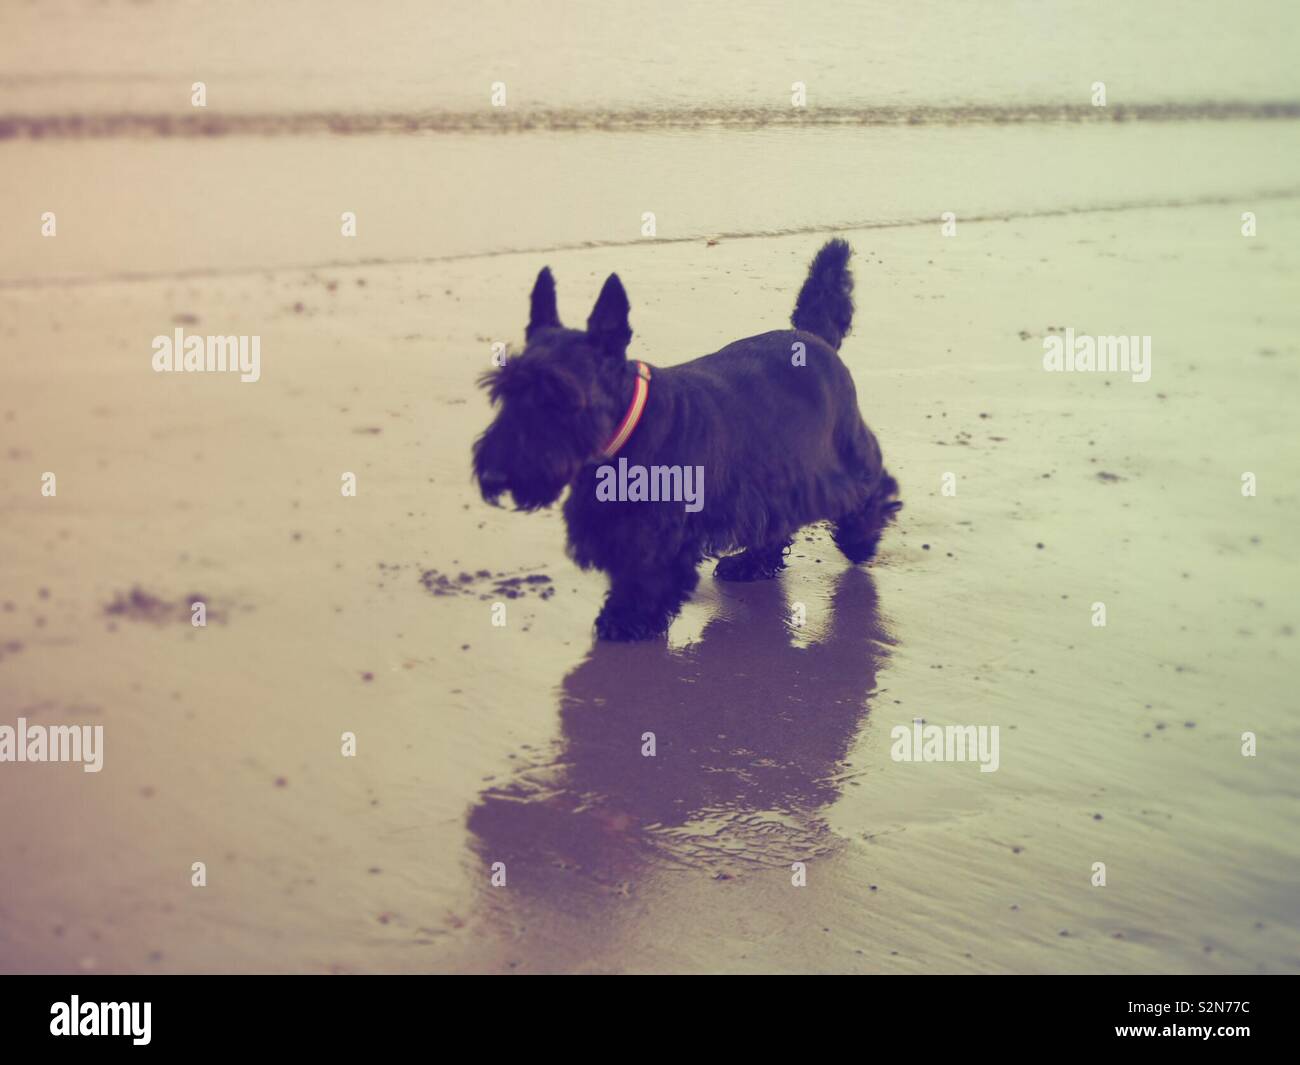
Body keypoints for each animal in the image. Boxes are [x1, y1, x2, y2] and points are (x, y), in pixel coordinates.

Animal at [473, 241, 899, 642]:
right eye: (505, 392)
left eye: (559, 395)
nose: (494, 476)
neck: (629, 429)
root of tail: (812, 336)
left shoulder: (658, 533)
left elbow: (646, 574)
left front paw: (625, 620)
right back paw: (751, 563)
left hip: (840, 452)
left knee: (874, 486)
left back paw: (860, 541)